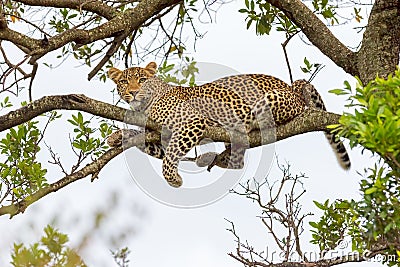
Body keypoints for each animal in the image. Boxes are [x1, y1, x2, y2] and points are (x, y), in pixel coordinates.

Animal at [108, 62, 352, 188]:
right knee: (237, 161)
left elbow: (170, 157)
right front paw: (117, 136)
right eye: (124, 82)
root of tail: (293, 88)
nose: (133, 92)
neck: (145, 108)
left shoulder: (191, 122)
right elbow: (148, 143)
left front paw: (173, 179)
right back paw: (212, 157)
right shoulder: (161, 138)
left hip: (267, 101)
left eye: (142, 80)